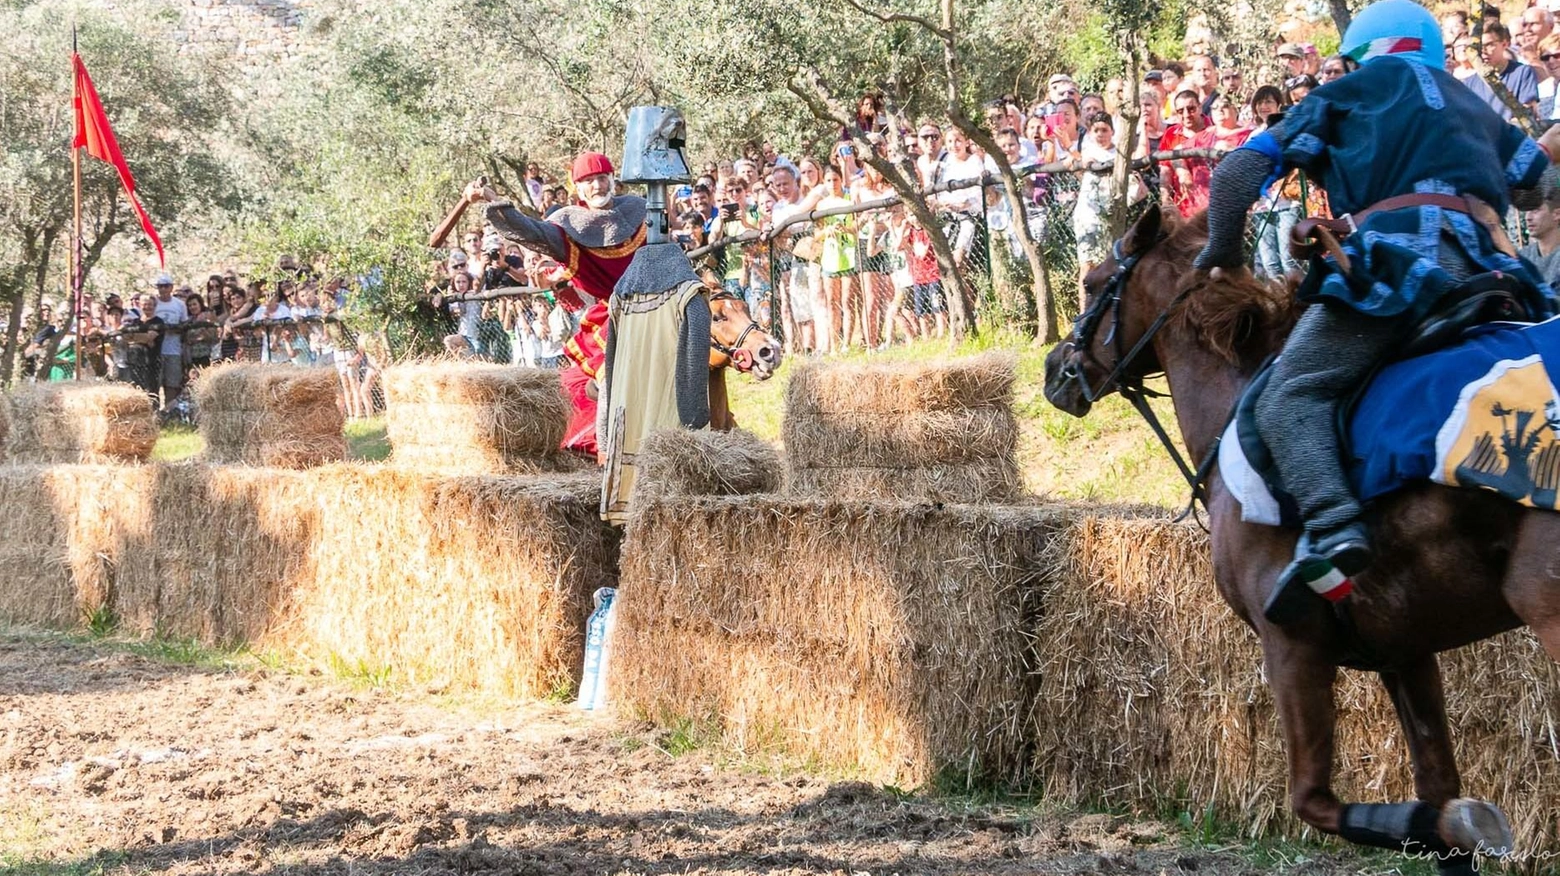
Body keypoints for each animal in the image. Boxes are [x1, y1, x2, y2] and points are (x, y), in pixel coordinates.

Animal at [1042, 204, 1560, 866]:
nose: (1055, 368)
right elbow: (1438, 783)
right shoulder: (1405, 653)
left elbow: (1315, 801)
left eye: (1092, 284)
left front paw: (1451, 824)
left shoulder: (1292, 648)